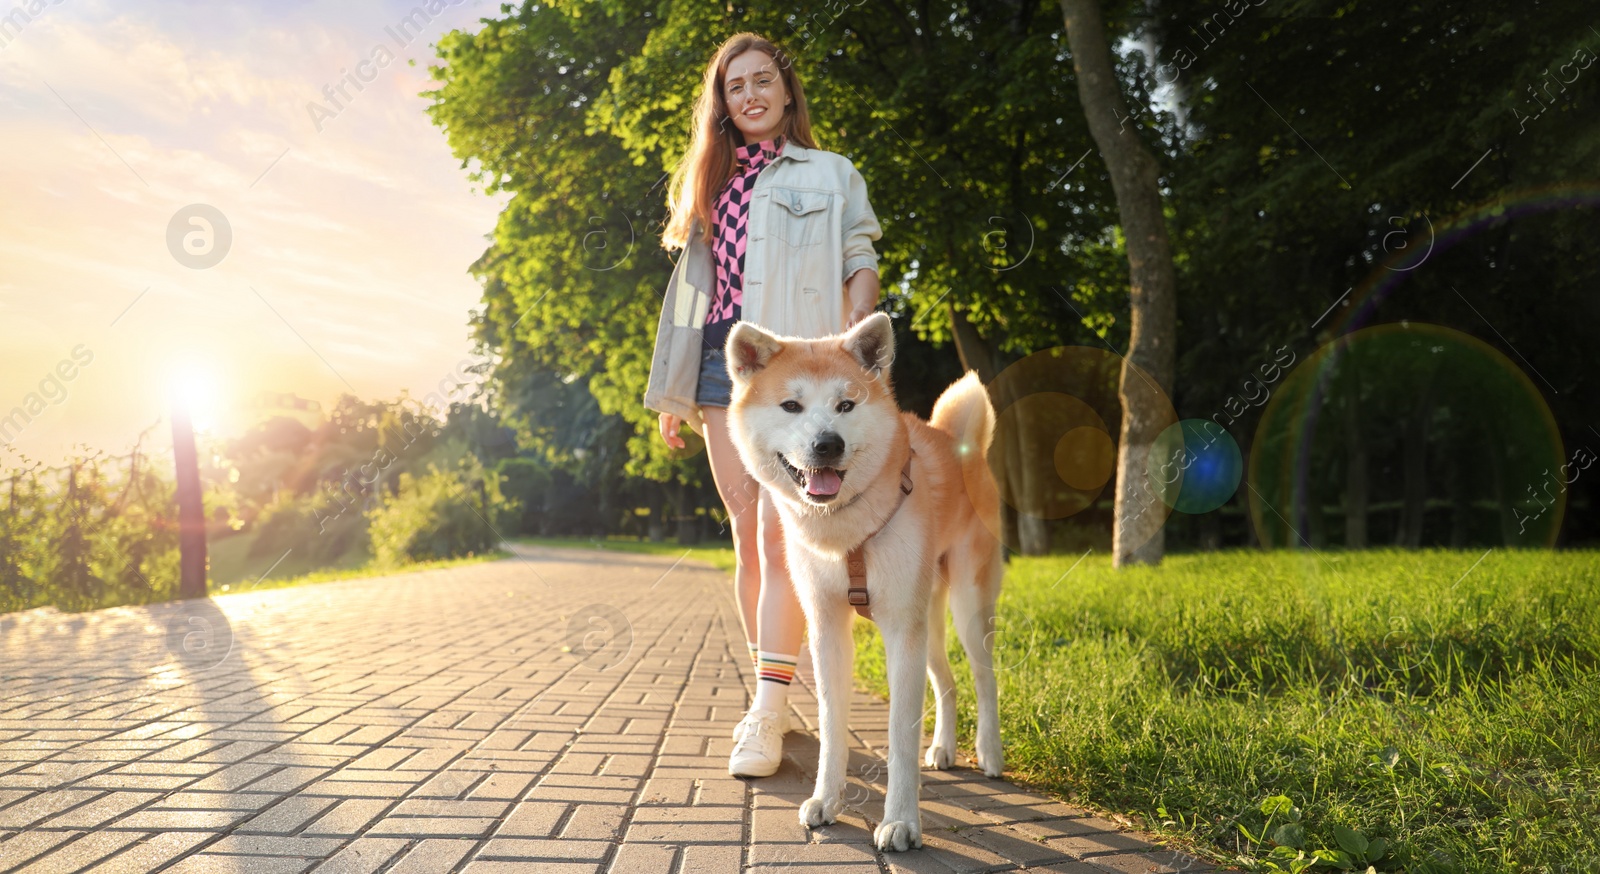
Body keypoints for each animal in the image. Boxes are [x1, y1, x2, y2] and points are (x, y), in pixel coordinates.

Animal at [726, 313, 998, 851]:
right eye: (791, 405)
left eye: (846, 405)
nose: (827, 444)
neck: (844, 530)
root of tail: (963, 446)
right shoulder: (828, 627)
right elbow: (832, 727)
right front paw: (826, 800)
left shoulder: (900, 631)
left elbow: (899, 738)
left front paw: (902, 822)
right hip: (928, 620)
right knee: (948, 682)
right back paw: (943, 749)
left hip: (966, 607)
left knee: (984, 678)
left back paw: (989, 753)